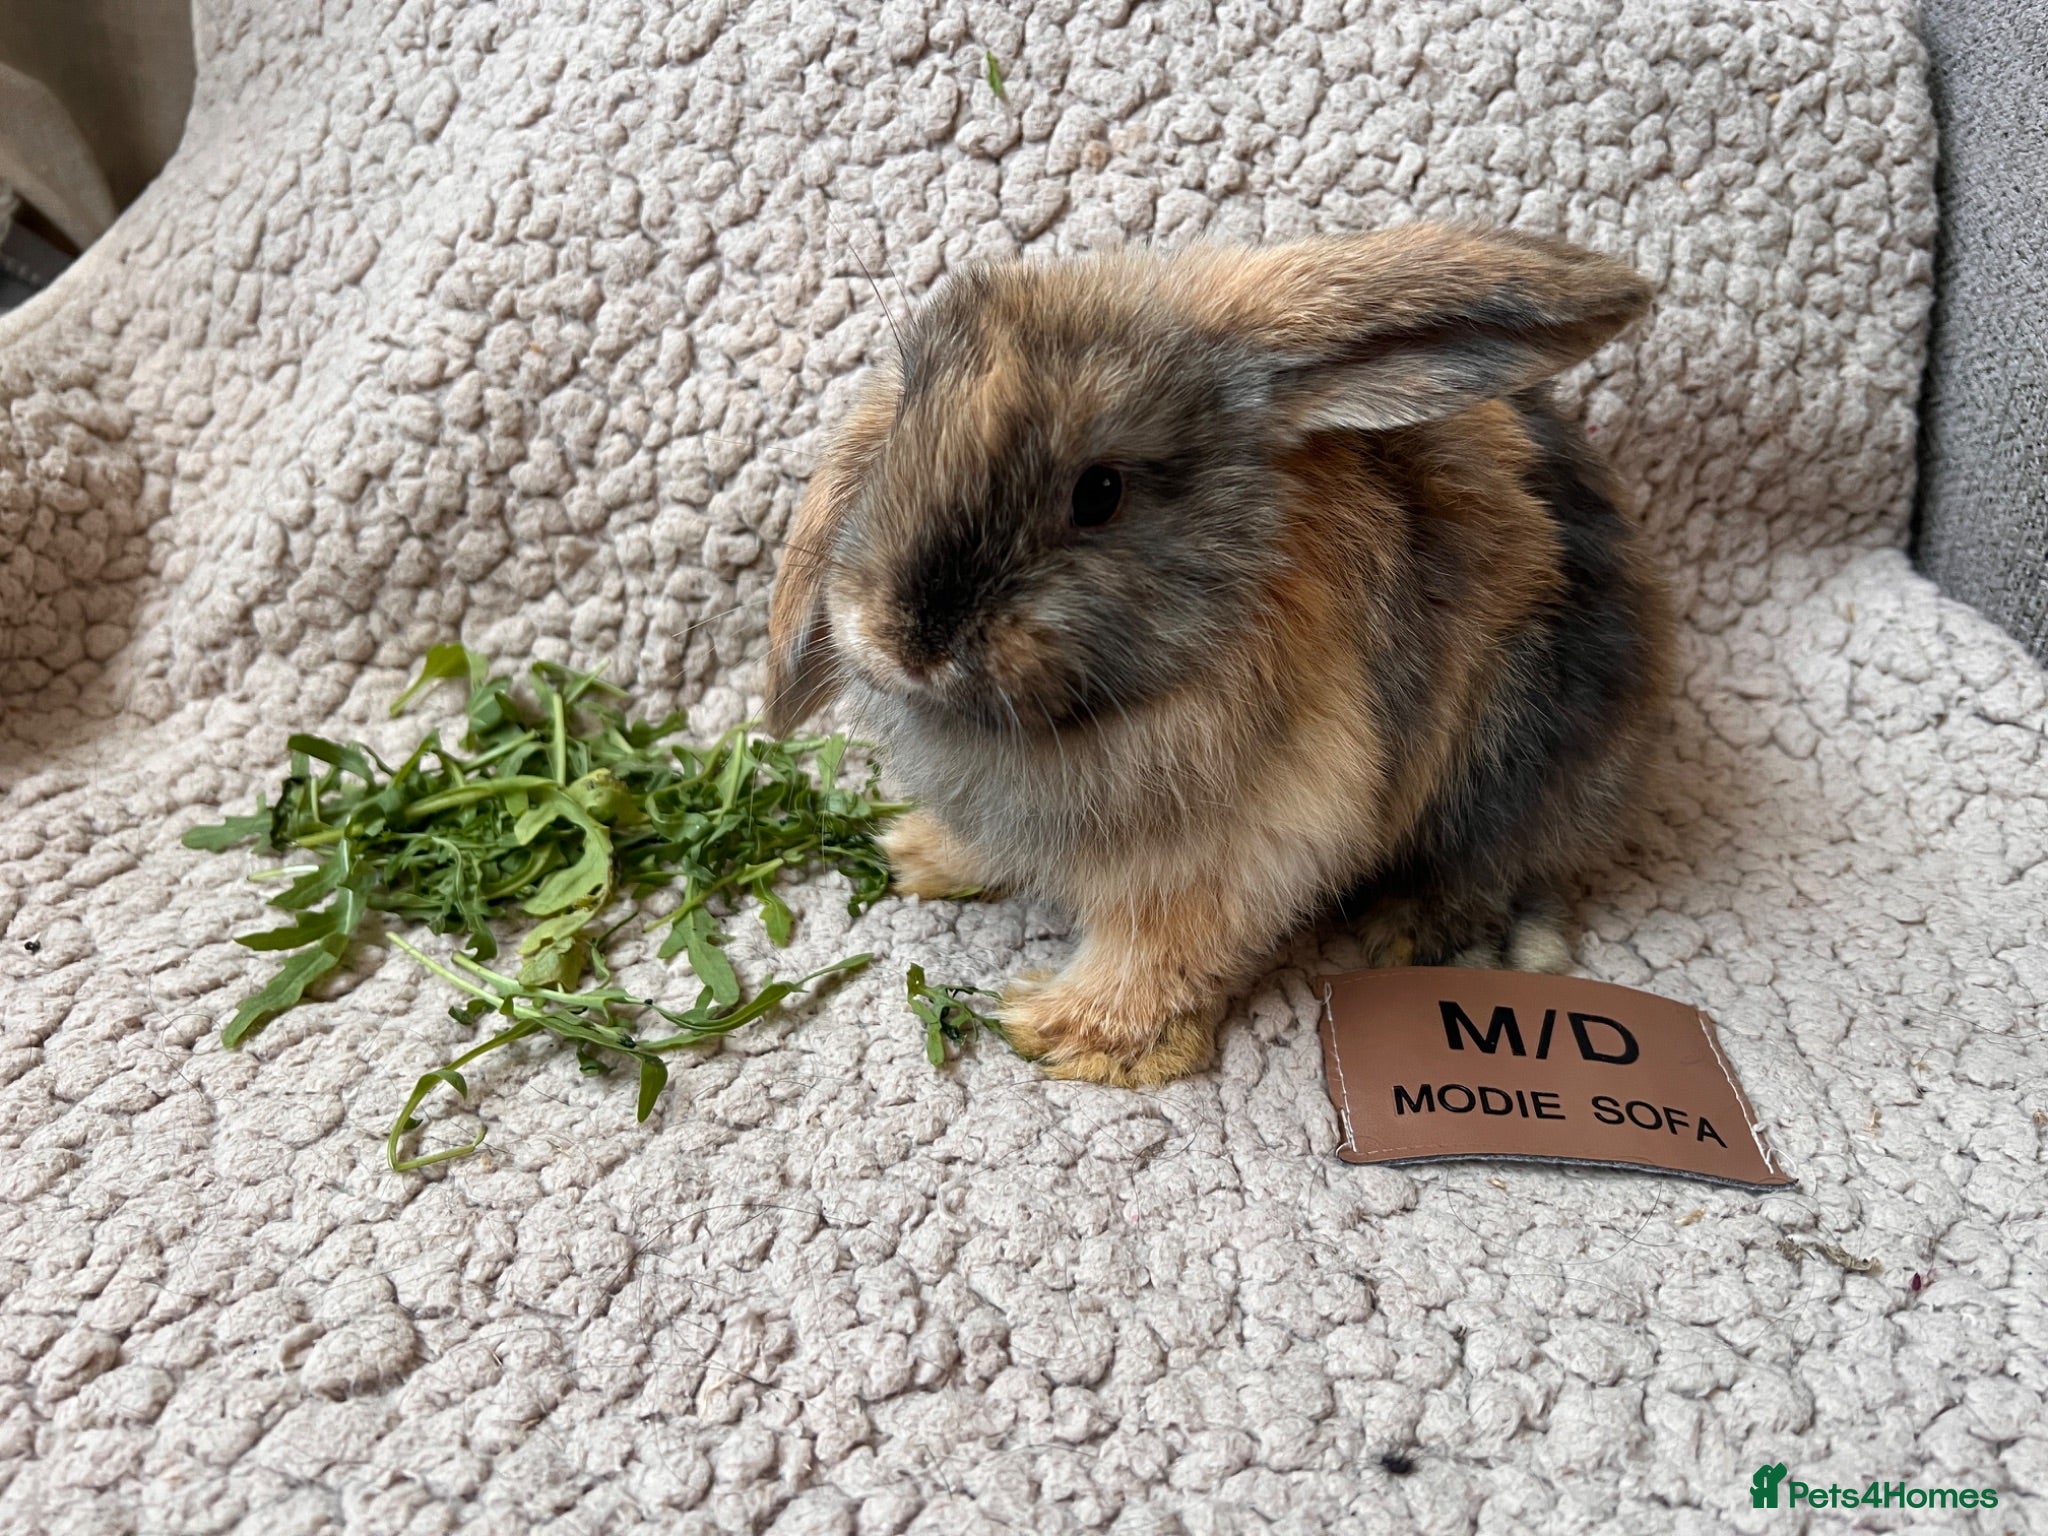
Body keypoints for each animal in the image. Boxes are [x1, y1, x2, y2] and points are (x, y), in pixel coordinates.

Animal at [764, 222, 1672, 1087]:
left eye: (1099, 492)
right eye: (898, 439)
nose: (905, 641)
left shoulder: (1238, 842)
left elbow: (1165, 946)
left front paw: (1067, 1034)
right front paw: (916, 855)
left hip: (1510, 760)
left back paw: (1416, 935)